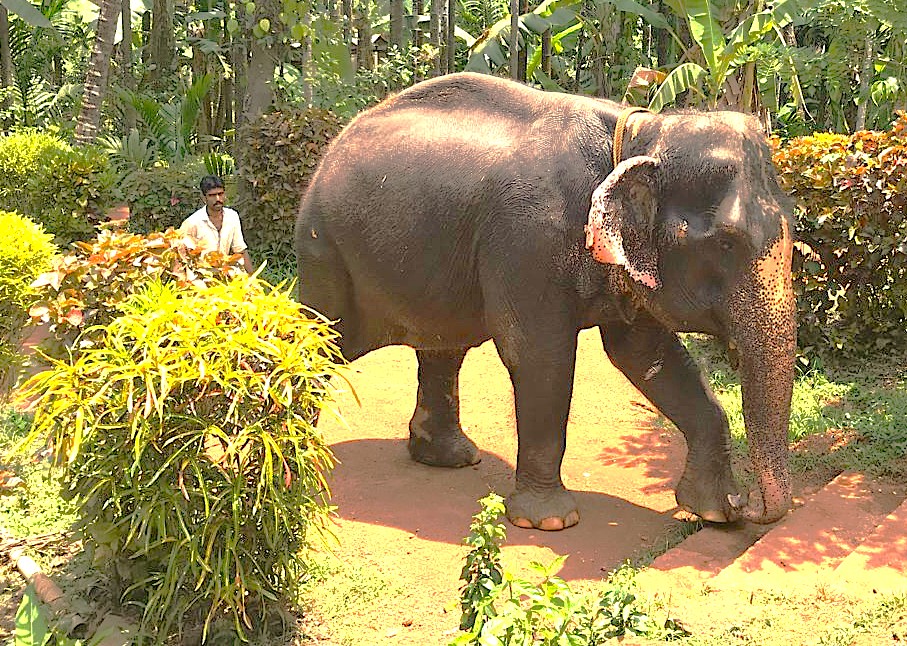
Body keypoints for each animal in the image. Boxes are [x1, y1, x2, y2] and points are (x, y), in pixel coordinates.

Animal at [295, 72, 796, 531]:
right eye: (727, 244)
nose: (747, 506)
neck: (641, 132)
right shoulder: (529, 239)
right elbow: (539, 354)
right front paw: (550, 522)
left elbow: (645, 354)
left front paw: (711, 511)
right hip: (326, 252)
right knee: (322, 341)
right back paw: (304, 456)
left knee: (443, 349)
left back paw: (450, 458)